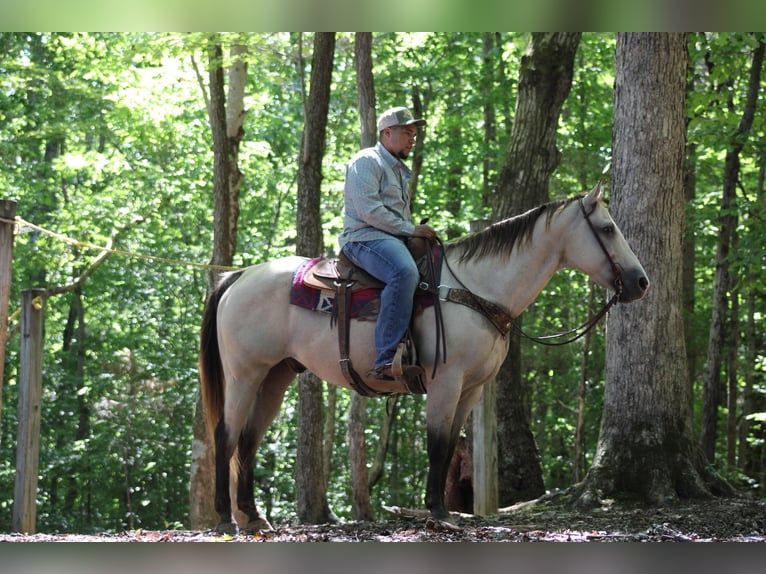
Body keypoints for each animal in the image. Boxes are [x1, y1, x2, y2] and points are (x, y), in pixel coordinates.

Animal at [200, 183, 656, 536]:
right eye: (607, 228)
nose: (640, 282)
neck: (474, 290)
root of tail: (238, 276)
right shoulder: (446, 381)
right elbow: (437, 443)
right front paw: (438, 514)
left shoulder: (472, 389)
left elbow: (451, 442)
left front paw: (442, 508)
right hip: (244, 374)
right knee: (225, 435)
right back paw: (225, 518)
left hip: (275, 376)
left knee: (248, 439)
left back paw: (254, 519)